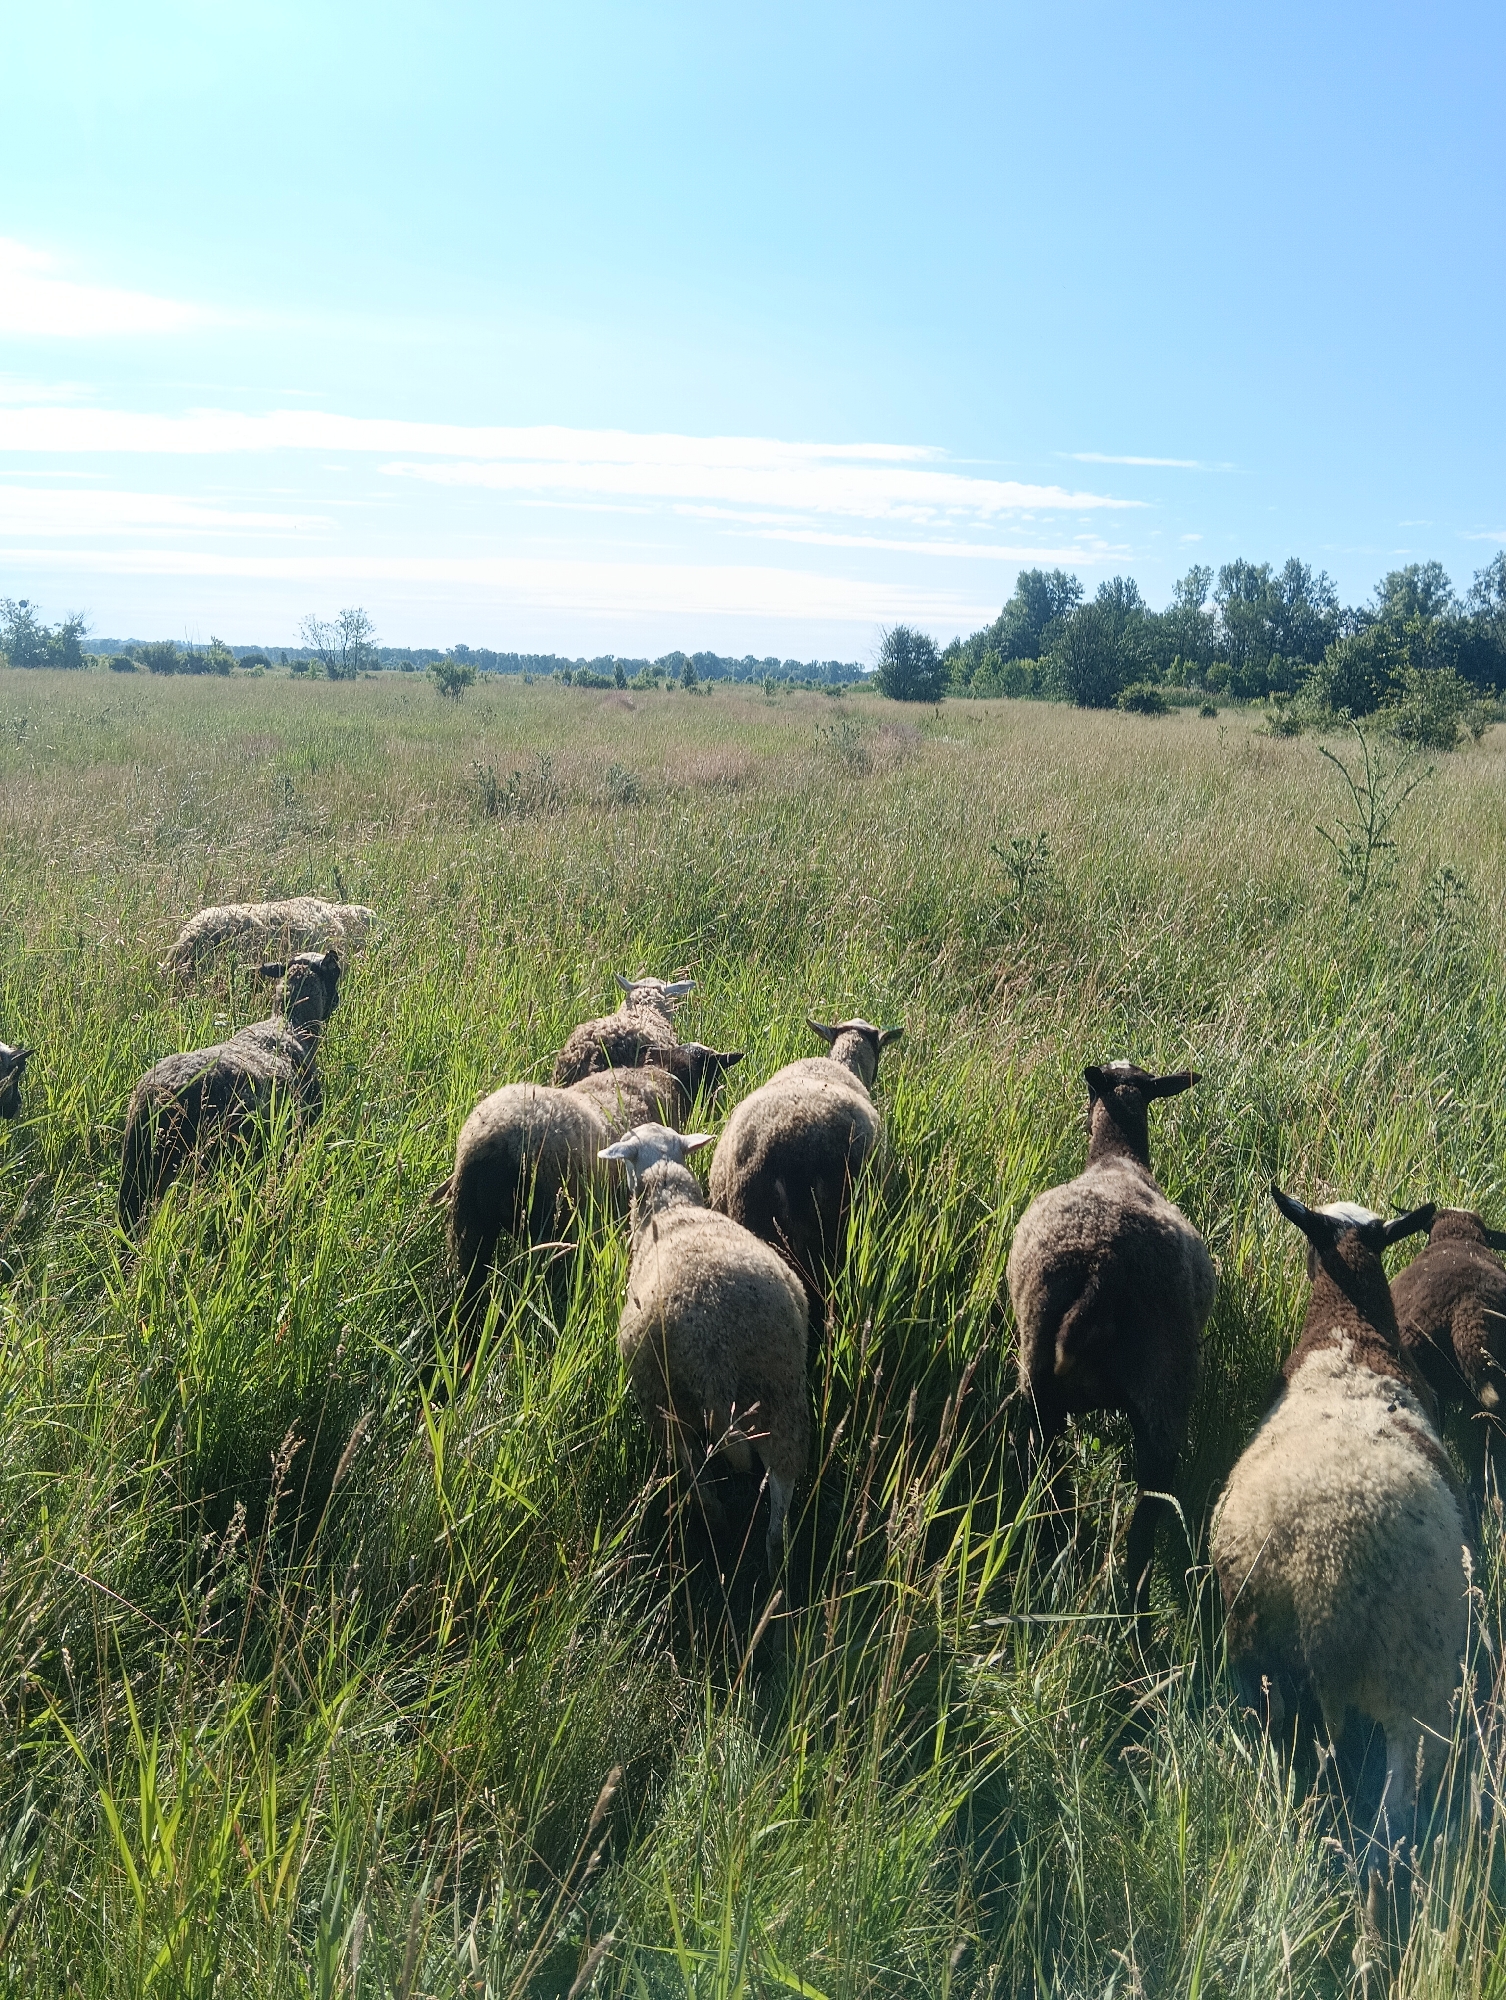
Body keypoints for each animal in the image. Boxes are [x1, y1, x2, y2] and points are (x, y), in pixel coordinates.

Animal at [441, 1046, 743, 1312]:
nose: (719, 1106)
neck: (663, 1074)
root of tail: (497, 1140)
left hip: (469, 1222)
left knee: (467, 1286)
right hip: (550, 1221)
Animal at [600, 1122, 810, 1565]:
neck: (671, 1208)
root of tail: (712, 1352)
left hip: (665, 1401)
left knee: (697, 1479)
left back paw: (720, 1533)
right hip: (777, 1387)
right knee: (776, 1493)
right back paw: (773, 1561)